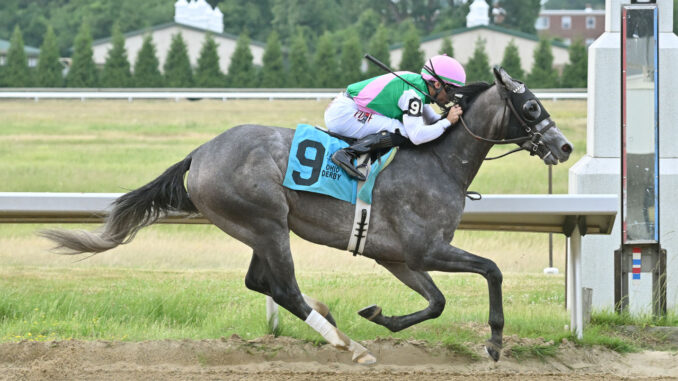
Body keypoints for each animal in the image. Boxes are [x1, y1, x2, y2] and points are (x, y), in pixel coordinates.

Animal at [41, 67, 572, 362]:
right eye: (531, 106)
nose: (564, 147)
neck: (439, 162)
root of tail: (200, 153)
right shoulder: (427, 248)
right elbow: (492, 270)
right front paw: (495, 342)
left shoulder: (398, 257)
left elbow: (437, 302)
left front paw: (379, 315)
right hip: (266, 222)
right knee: (283, 289)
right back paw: (348, 346)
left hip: (258, 228)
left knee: (261, 282)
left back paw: (334, 319)